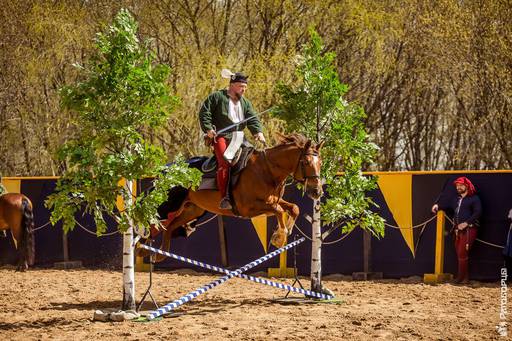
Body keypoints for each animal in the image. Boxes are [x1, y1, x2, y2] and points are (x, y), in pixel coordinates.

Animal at [140, 132, 324, 260]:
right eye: (306, 162)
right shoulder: (249, 208)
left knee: (170, 226)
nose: (317, 191)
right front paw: (279, 237)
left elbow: (294, 208)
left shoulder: (271, 202)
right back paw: (141, 249)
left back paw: (159, 254)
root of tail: (166, 169)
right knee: (151, 223)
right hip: (167, 205)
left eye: (320, 163)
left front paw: (285, 231)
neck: (267, 170)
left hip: (192, 210)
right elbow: (279, 210)